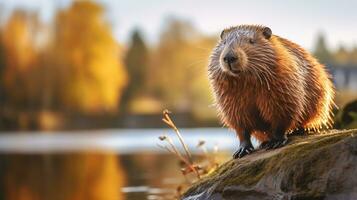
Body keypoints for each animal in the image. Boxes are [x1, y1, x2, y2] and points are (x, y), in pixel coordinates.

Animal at [209, 25, 334, 159]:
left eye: (251, 41)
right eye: (224, 42)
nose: (229, 57)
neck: (245, 81)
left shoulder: (283, 89)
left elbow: (282, 115)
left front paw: (277, 141)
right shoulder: (231, 101)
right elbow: (241, 126)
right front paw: (242, 150)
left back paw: (304, 130)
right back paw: (264, 142)